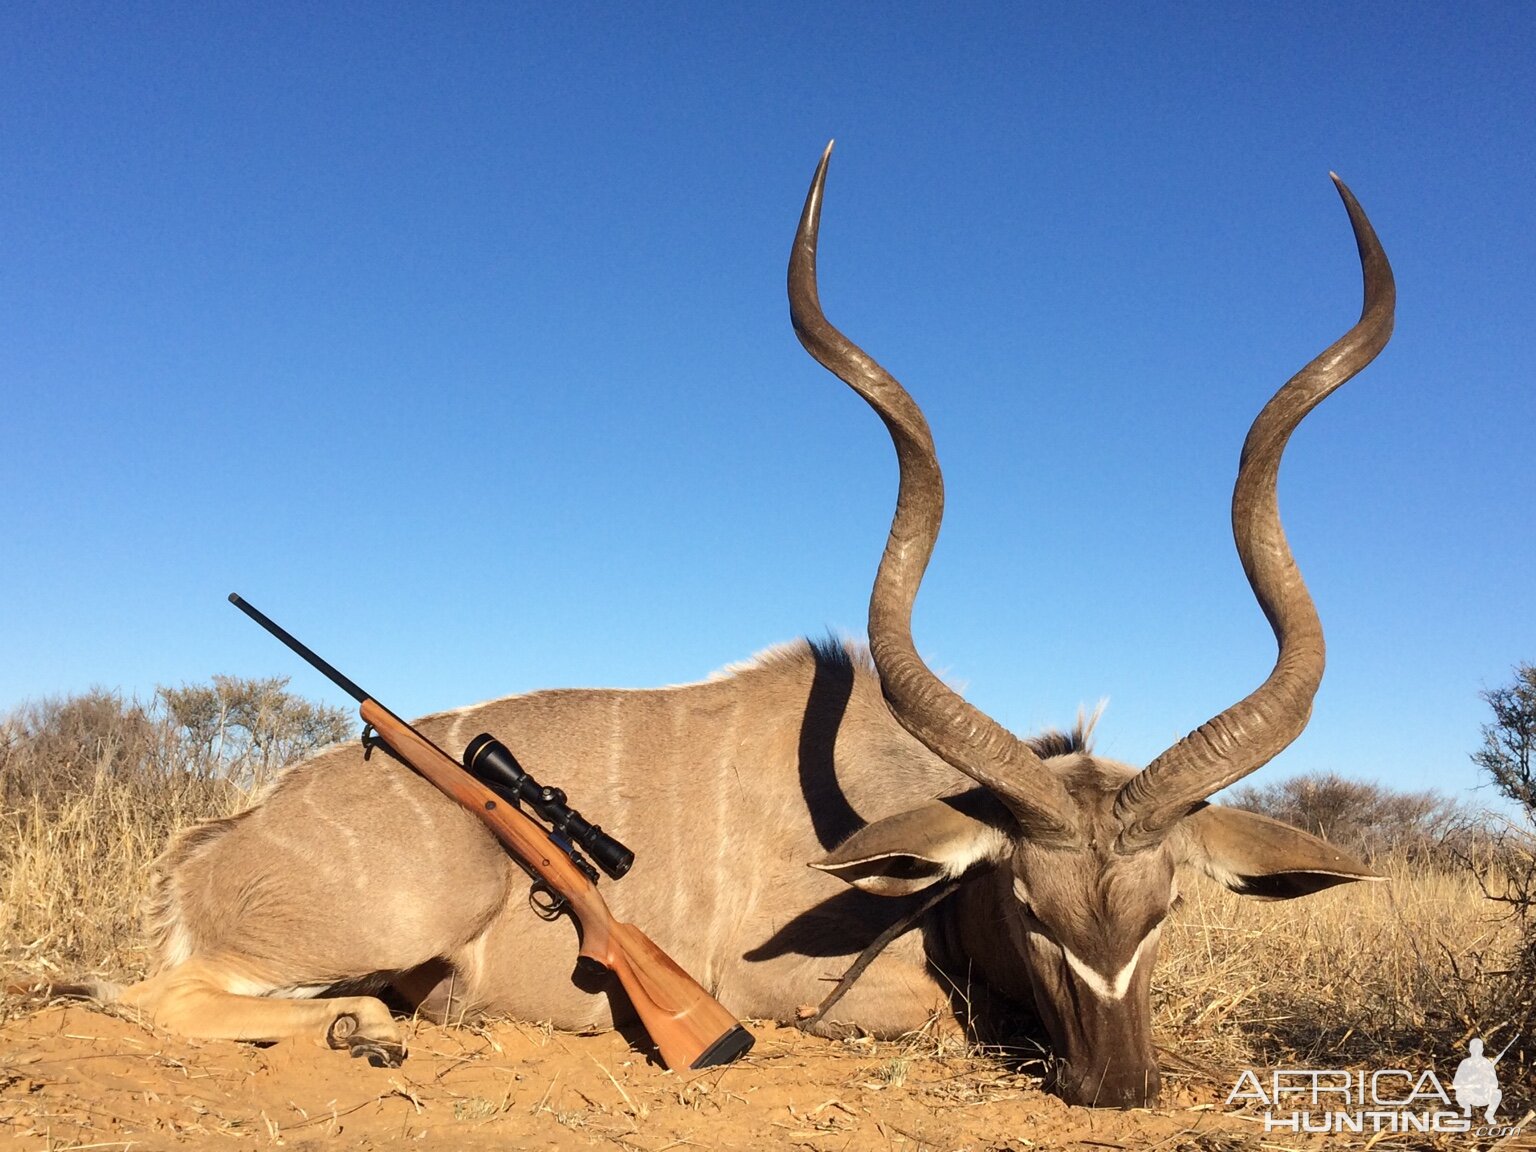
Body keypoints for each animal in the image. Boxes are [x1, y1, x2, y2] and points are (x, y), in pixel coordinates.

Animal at [51, 148, 1394, 1112]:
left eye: (1166, 909)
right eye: (1026, 905)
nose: (1119, 1087)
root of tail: (210, 853)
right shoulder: (809, 994)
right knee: (152, 996)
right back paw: (363, 1029)